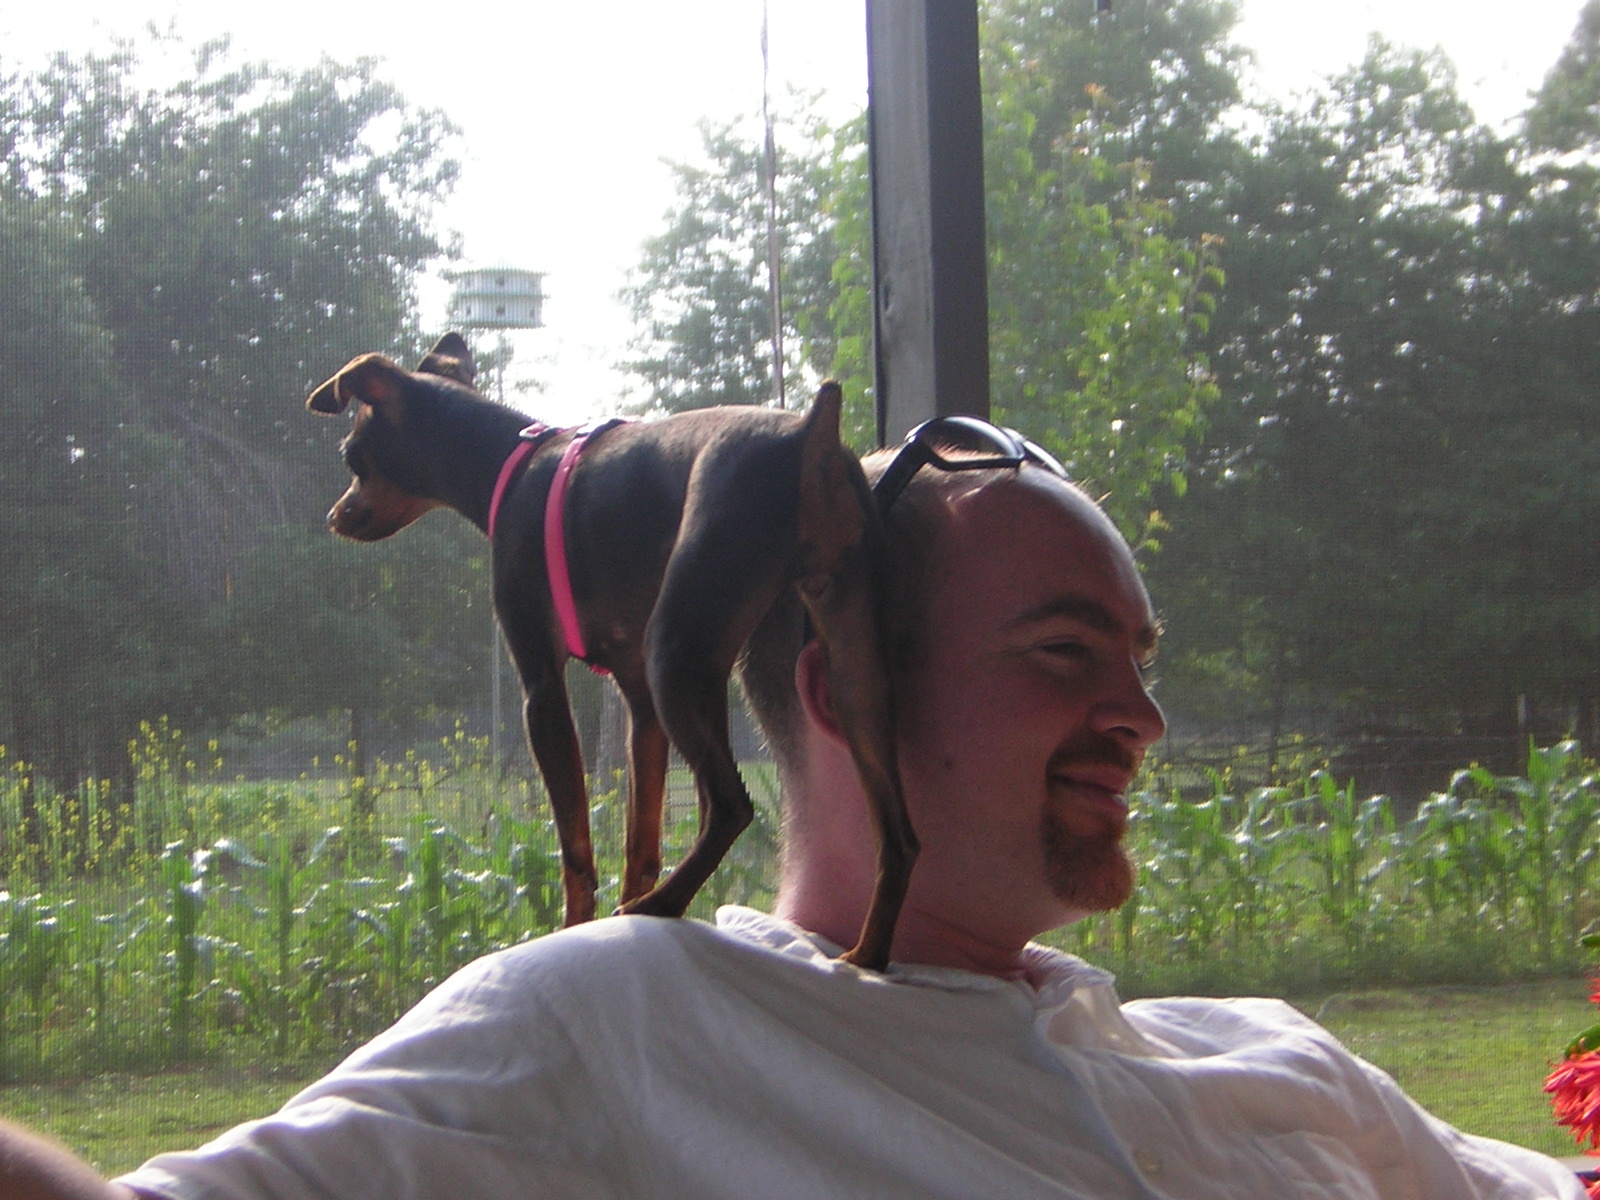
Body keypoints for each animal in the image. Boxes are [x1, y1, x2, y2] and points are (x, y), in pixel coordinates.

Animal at [306, 334, 915, 969]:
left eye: (352, 457)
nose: (334, 516)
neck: (510, 464)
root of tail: (811, 432)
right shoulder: (640, 704)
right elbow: (639, 838)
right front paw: (616, 908)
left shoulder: (543, 690)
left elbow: (575, 847)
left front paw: (575, 928)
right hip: (852, 669)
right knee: (897, 837)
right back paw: (865, 954)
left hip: (676, 654)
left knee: (731, 805)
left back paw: (661, 905)